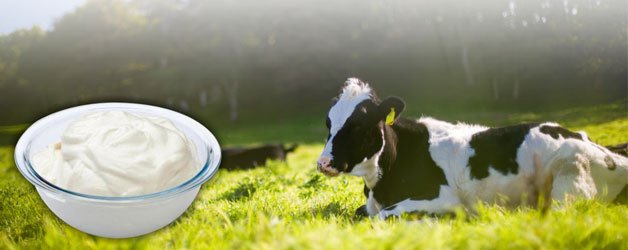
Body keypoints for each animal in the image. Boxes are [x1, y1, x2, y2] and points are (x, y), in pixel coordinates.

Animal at [316, 78, 628, 219]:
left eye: (359, 124)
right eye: (328, 122)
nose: (323, 163)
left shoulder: (443, 198)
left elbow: (382, 216)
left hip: (570, 173)